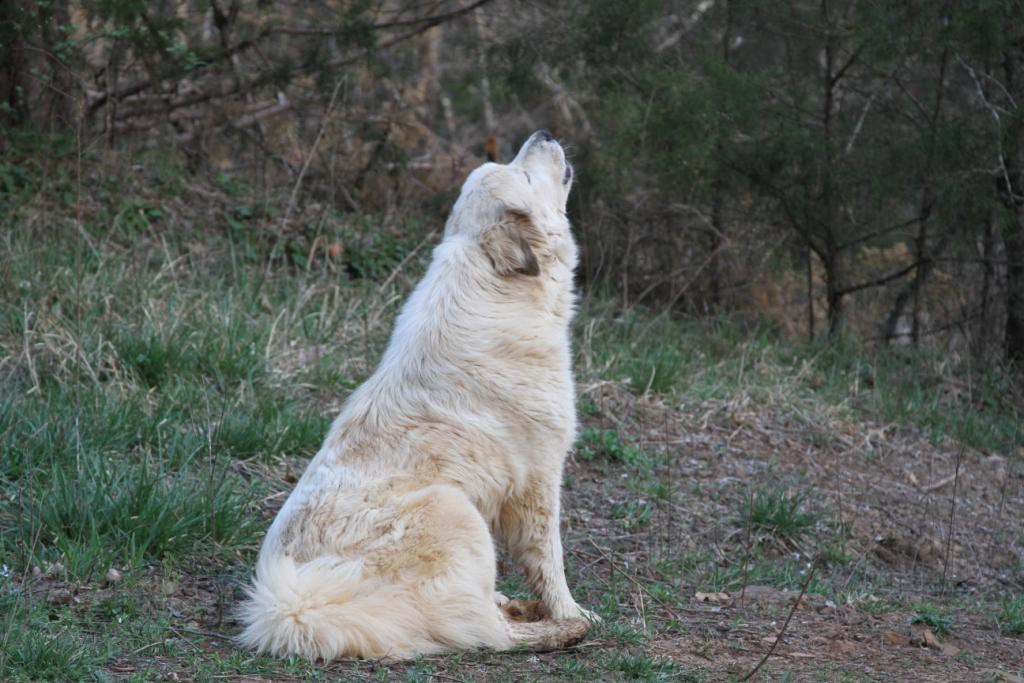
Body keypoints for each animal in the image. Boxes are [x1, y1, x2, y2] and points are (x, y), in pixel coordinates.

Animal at [238, 131, 593, 659]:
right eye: (526, 174)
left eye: (516, 162)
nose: (542, 135)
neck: (495, 286)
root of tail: (297, 610)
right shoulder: (539, 480)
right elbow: (550, 562)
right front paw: (571, 611)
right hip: (456, 510)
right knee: (489, 632)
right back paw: (561, 629)